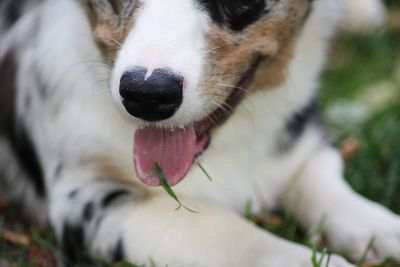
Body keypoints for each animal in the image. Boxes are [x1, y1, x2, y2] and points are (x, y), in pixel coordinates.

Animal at [0, 0, 398, 266]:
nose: (147, 95)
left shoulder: (303, 139)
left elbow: (328, 188)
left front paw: (385, 230)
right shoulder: (86, 195)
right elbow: (224, 229)